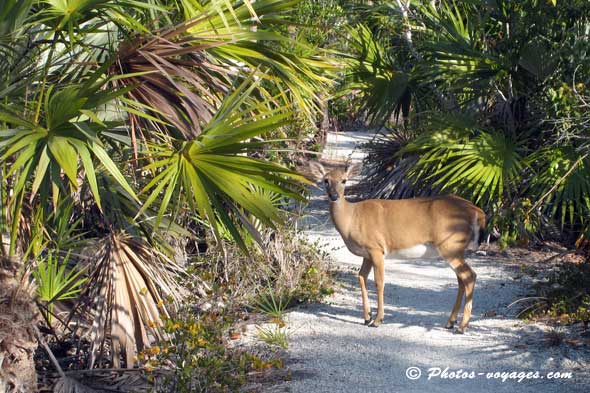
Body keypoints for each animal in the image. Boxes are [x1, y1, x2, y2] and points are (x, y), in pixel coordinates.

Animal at [308, 161, 488, 332]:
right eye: (326, 180)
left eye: (344, 180)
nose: (334, 196)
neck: (351, 219)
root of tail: (478, 211)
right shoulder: (367, 253)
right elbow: (361, 277)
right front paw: (367, 317)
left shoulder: (376, 248)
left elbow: (379, 282)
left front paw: (377, 320)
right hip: (455, 249)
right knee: (461, 280)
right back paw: (451, 322)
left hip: (450, 245)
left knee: (469, 276)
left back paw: (462, 326)